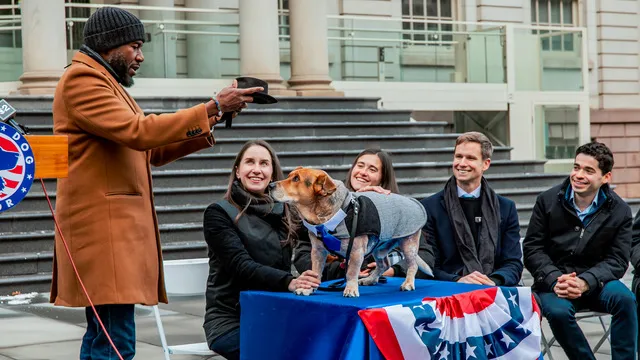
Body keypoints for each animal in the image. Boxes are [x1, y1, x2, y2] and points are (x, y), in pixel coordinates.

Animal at [268, 167, 432, 296]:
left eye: (296, 179)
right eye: (290, 176)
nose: (270, 185)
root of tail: (412, 200)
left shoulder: (356, 251)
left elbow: (351, 271)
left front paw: (350, 289)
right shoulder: (317, 251)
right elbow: (316, 272)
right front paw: (309, 288)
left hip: (408, 244)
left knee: (412, 265)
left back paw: (408, 283)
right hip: (379, 248)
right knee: (384, 264)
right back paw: (370, 279)